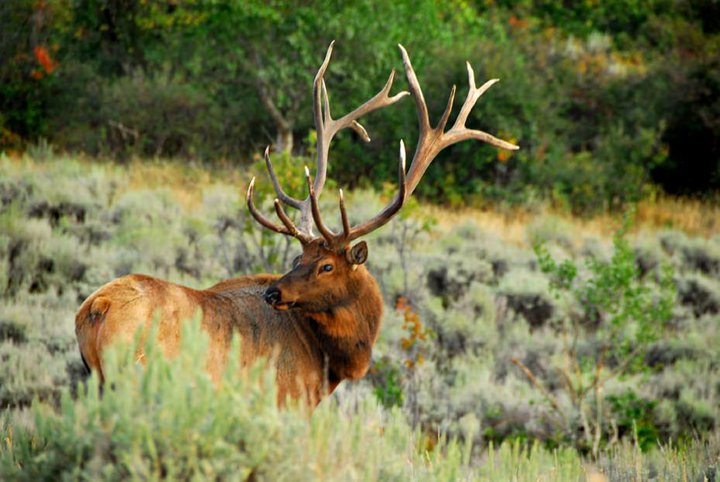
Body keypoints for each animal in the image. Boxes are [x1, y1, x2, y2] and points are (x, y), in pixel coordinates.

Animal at [74, 41, 516, 404]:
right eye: (301, 260)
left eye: (323, 264)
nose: (273, 292)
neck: (328, 365)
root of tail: (95, 308)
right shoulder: (287, 401)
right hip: (133, 378)